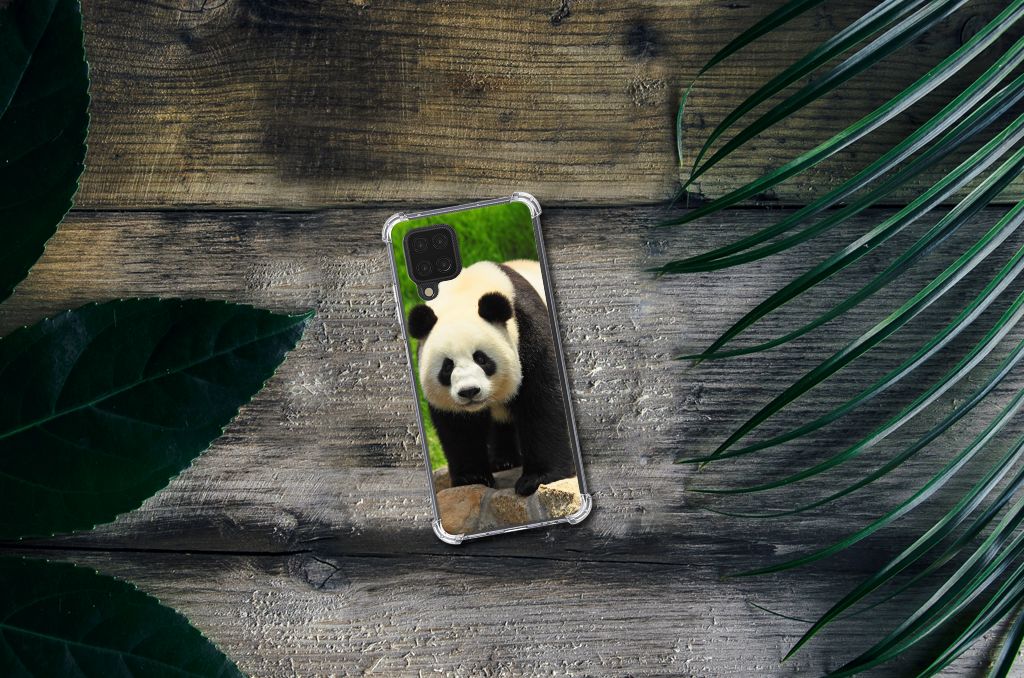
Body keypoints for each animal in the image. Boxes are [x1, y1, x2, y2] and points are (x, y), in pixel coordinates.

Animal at [406, 259, 576, 496]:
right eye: (447, 367)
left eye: (481, 358)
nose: (469, 392)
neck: (465, 292)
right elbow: (458, 426)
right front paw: (471, 478)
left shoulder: (530, 331)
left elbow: (542, 402)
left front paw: (538, 478)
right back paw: (503, 461)